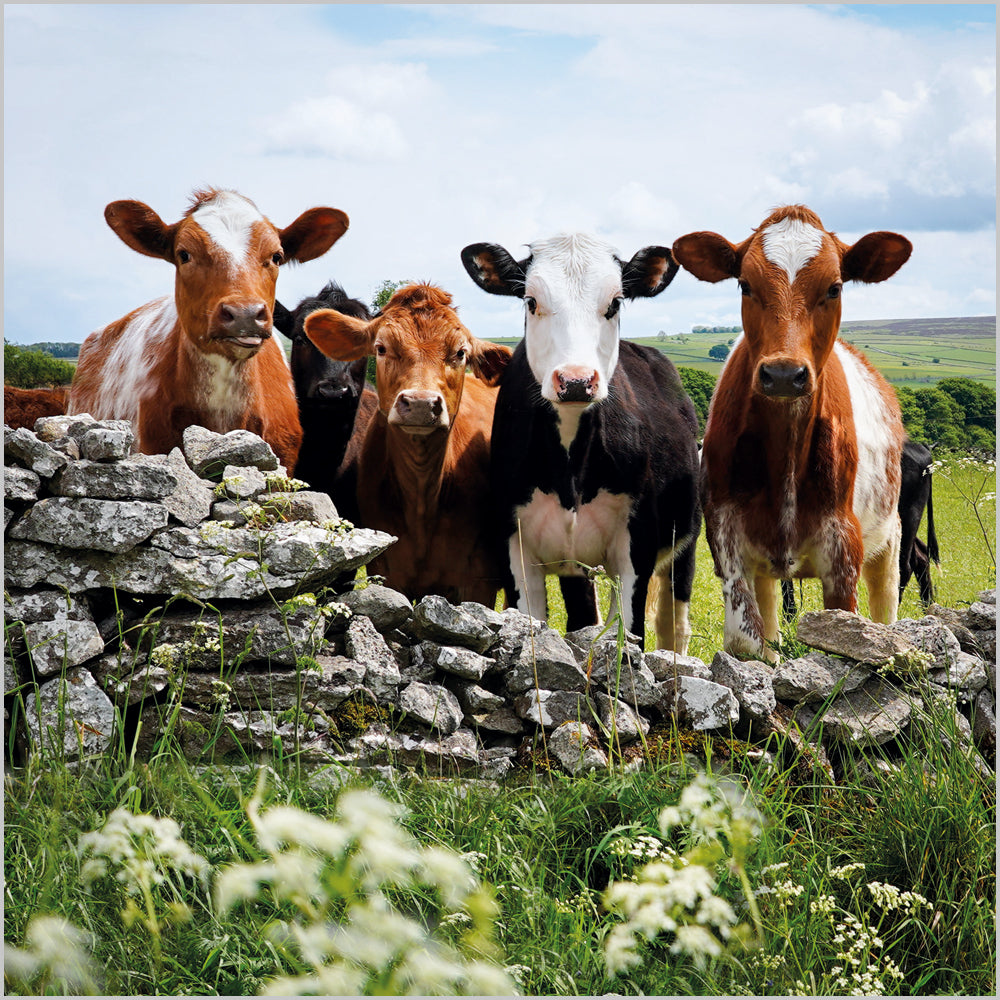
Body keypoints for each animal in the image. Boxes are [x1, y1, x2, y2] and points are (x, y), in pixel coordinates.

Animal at [461, 233, 701, 652]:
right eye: (531, 301)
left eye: (615, 302)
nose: (575, 380)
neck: (569, 468)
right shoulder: (512, 543)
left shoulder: (638, 542)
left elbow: (628, 635)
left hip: (686, 537)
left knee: (673, 624)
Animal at [672, 205, 911, 661]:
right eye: (745, 285)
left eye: (834, 288)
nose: (784, 373)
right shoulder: (727, 539)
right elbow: (747, 643)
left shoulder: (844, 549)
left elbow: (846, 638)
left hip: (889, 540)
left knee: (886, 607)